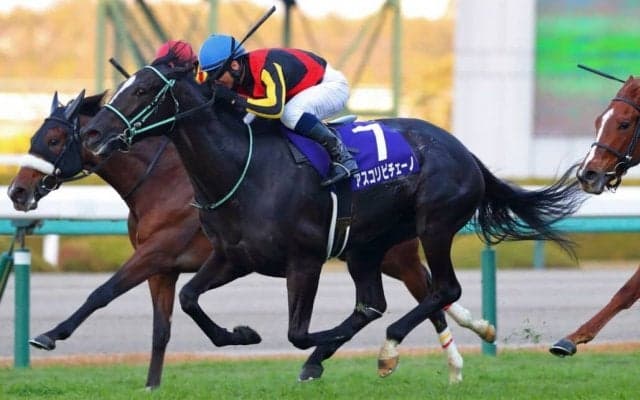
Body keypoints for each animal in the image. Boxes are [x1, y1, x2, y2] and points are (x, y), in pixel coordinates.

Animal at [7, 91, 495, 387]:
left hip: (399, 249)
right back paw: (466, 341)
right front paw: (152, 385)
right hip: (373, 252)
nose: (16, 191)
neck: (163, 180)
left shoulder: (157, 252)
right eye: (35, 136)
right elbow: (162, 328)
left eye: (55, 138)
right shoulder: (167, 266)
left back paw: (446, 353)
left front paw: (49, 335)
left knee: (431, 290)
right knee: (424, 294)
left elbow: (103, 292)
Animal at [79, 57, 583, 380]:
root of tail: (464, 151)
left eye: (143, 90)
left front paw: (315, 345)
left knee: (440, 290)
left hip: (434, 225)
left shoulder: (304, 260)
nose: (93, 133)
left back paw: (386, 348)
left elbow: (297, 332)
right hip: (367, 245)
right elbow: (188, 299)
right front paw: (241, 334)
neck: (243, 167)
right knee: (378, 301)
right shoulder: (233, 257)